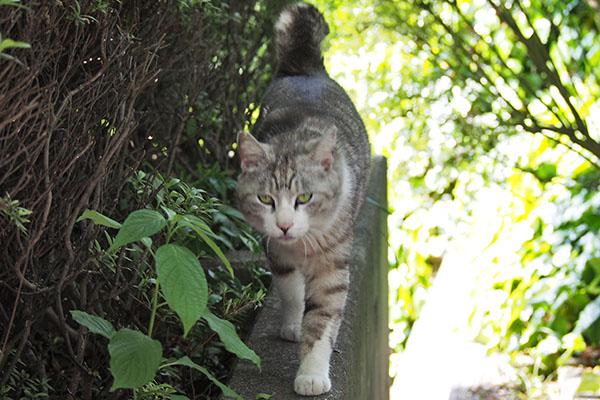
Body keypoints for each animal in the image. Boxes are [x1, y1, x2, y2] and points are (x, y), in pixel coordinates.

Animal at [236, 2, 370, 396]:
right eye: (265, 198)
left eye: (305, 197)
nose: (283, 225)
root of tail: (305, 67)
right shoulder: (276, 252)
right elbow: (292, 293)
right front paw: (294, 324)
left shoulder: (333, 266)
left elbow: (323, 319)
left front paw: (311, 374)